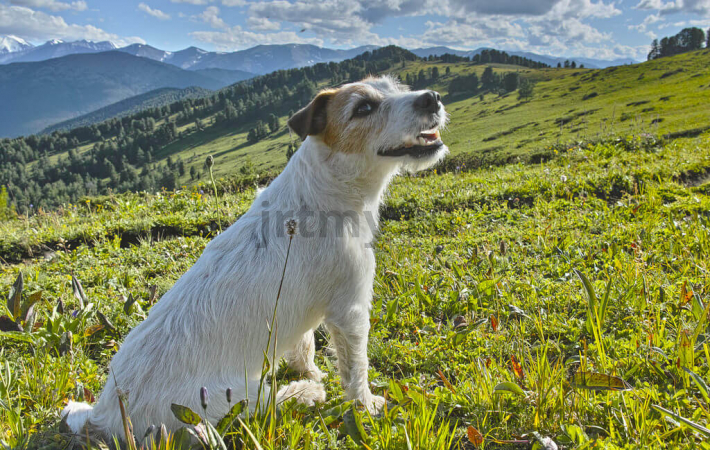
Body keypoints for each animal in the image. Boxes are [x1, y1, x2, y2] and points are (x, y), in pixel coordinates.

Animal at [62, 74, 450, 442]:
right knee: (265, 403)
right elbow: (356, 368)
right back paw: (304, 392)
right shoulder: (350, 311)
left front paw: (309, 369)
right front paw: (365, 405)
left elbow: (304, 345)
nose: (432, 98)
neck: (325, 193)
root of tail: (106, 417)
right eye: (364, 108)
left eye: (396, 87)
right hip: (228, 396)